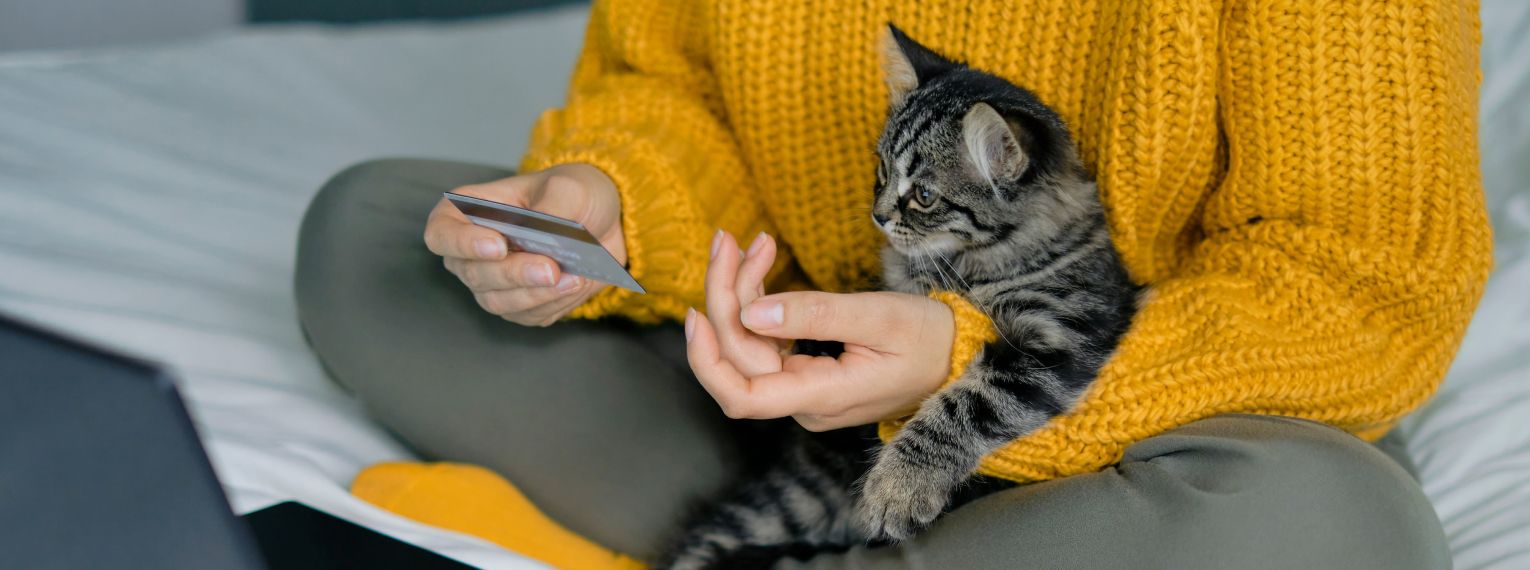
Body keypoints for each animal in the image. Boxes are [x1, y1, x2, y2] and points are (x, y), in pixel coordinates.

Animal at [657, 24, 1138, 565]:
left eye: (924, 196)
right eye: (882, 172)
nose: (879, 215)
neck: (970, 266)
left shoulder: (1059, 337)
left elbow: (966, 405)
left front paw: (898, 487)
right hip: (789, 499)